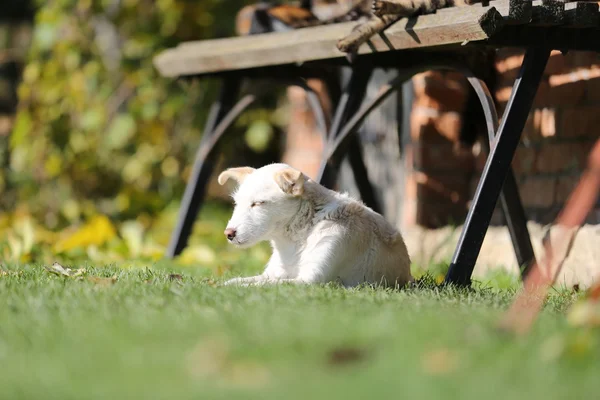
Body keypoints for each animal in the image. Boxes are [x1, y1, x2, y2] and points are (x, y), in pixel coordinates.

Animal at [218, 162, 414, 288]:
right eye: (237, 203)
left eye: (258, 203)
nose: (228, 233)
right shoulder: (271, 274)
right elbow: (238, 281)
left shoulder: (309, 281)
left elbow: (261, 286)